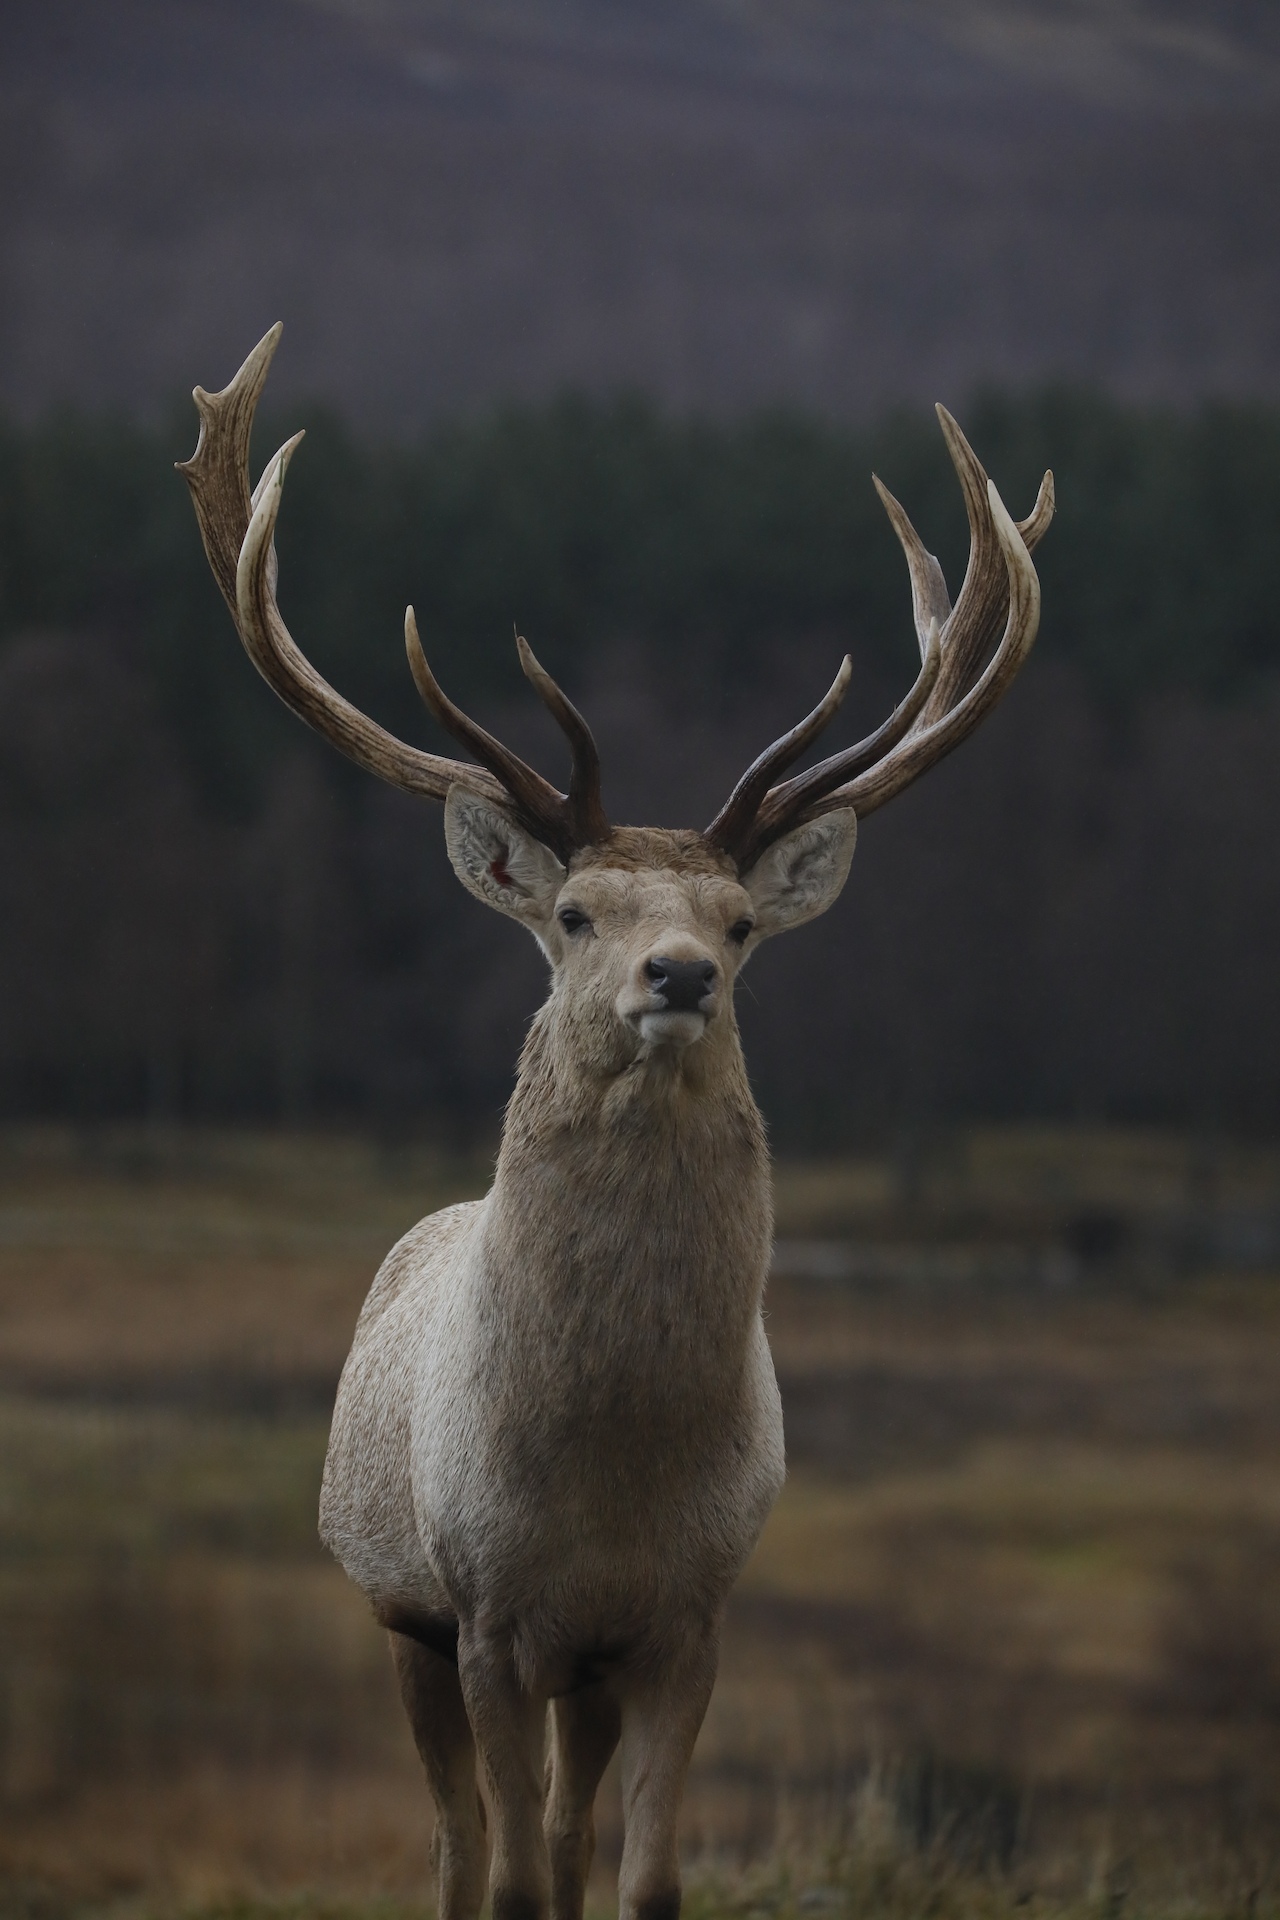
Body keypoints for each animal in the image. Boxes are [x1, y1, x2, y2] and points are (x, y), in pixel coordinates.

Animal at [178, 326, 1051, 1920]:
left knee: (571, 1828)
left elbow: (641, 1879)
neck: (610, 1482)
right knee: (461, 1843)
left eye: (742, 921)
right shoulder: (484, 1611)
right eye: (578, 912)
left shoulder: (681, 1619)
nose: (680, 973)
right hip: (394, 1607)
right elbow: (514, 1881)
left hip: (578, 1669)